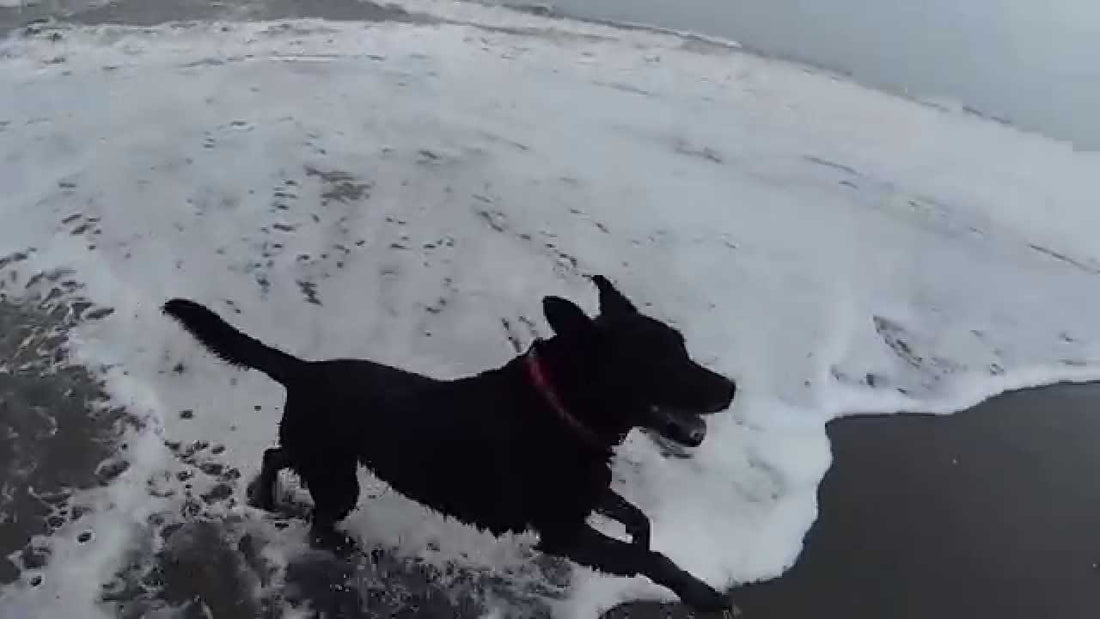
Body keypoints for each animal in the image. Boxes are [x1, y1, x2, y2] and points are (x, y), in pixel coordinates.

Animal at [162, 277, 734, 615]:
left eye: (683, 347)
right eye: (659, 360)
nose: (730, 387)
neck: (560, 407)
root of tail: (304, 370)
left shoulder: (583, 499)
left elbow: (639, 523)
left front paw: (647, 541)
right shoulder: (563, 532)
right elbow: (652, 560)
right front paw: (702, 595)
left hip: (324, 457)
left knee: (279, 457)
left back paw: (264, 492)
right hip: (339, 478)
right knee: (319, 518)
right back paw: (334, 541)